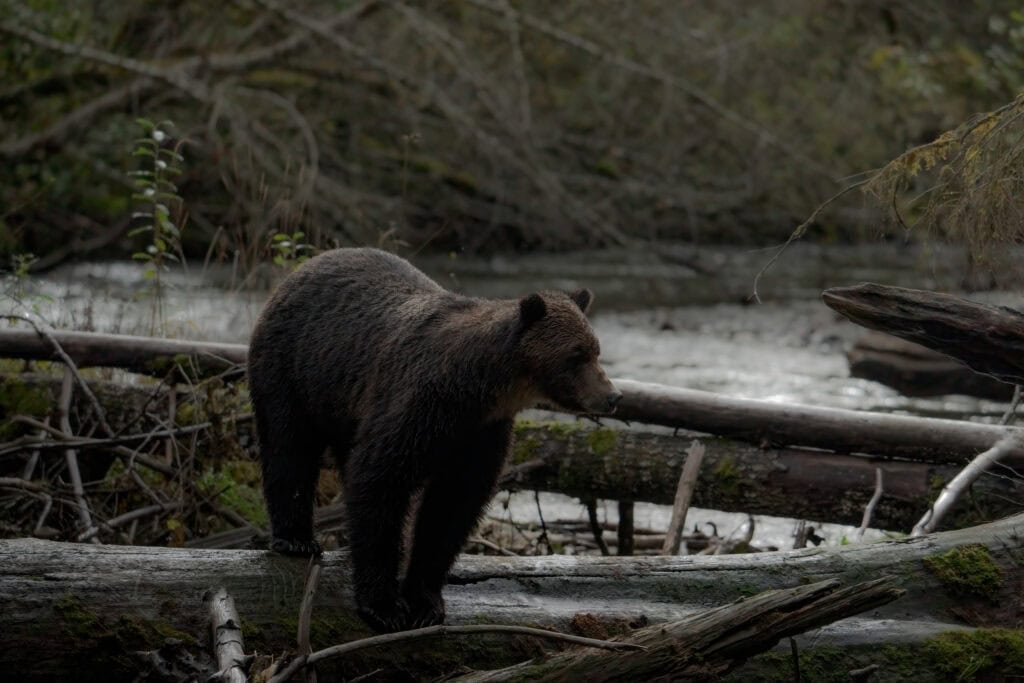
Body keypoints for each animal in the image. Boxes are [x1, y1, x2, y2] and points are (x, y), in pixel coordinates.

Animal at [245, 248, 622, 634]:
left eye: (596, 350)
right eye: (576, 355)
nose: (612, 396)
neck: (480, 390)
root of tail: (303, 268)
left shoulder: (480, 434)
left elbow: (452, 507)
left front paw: (423, 600)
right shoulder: (417, 408)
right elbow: (380, 482)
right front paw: (383, 605)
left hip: (341, 404)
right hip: (293, 367)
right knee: (288, 445)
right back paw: (296, 539)